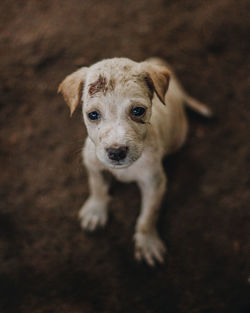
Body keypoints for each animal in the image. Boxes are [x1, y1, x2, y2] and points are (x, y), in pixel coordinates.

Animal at [58, 57, 211, 264]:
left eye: (138, 111)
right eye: (93, 115)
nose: (116, 152)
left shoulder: (154, 183)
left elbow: (148, 215)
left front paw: (147, 242)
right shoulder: (94, 165)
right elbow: (97, 187)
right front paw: (95, 210)